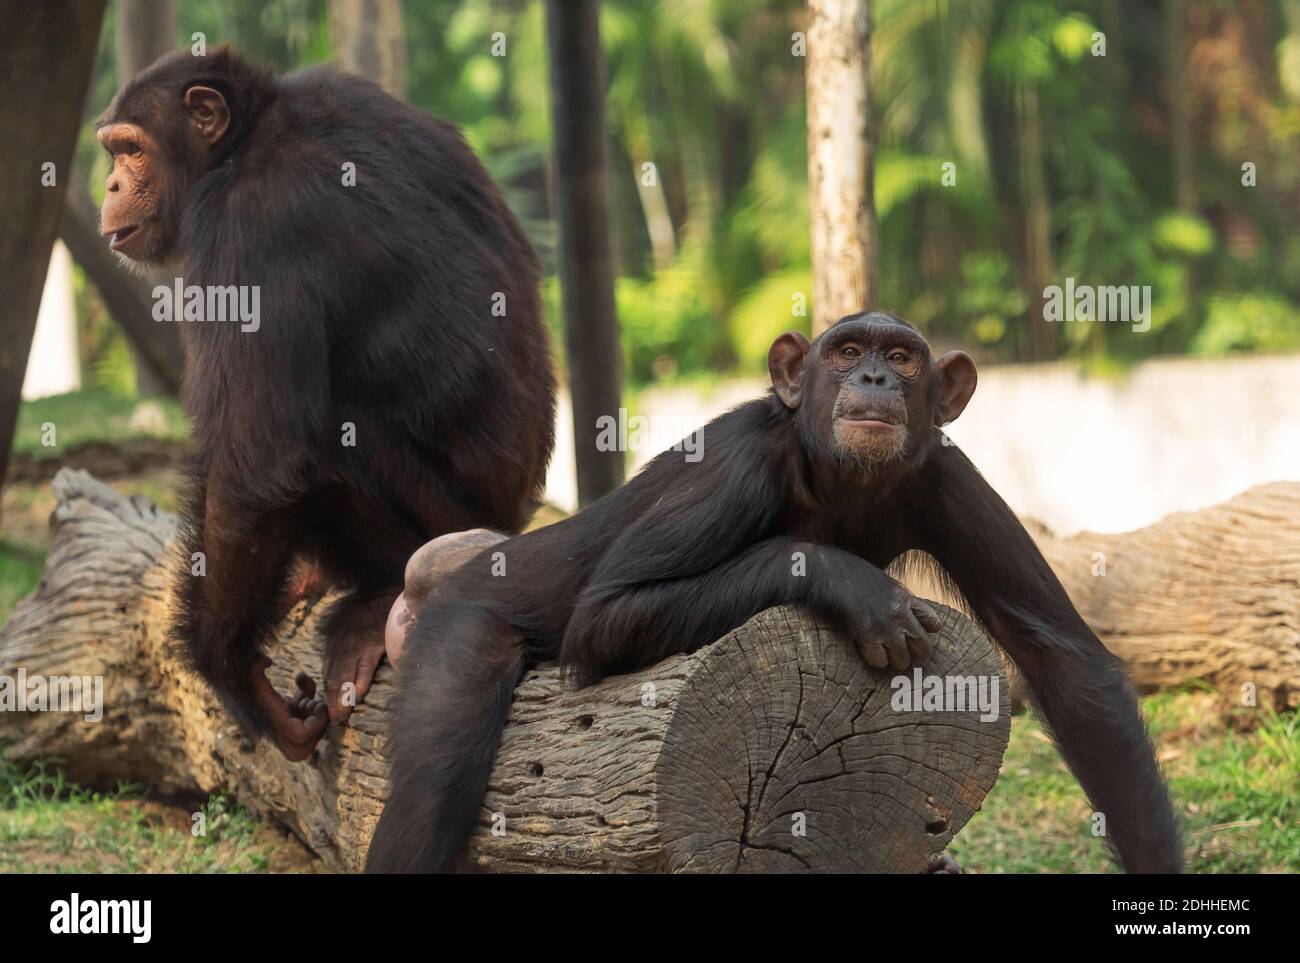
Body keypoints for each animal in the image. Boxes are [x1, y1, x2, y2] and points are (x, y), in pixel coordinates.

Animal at [94, 50, 553, 758]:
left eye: (133, 151)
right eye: (114, 152)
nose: (113, 185)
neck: (242, 143)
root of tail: (513, 520)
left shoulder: (248, 229)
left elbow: (256, 467)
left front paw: (232, 675)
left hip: (443, 517)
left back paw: (375, 602)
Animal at [371, 311, 1185, 873]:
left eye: (902, 357)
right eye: (848, 351)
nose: (875, 379)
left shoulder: (951, 477)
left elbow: (1061, 657)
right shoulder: (732, 465)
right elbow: (606, 616)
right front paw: (852, 584)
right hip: (466, 618)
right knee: (432, 786)